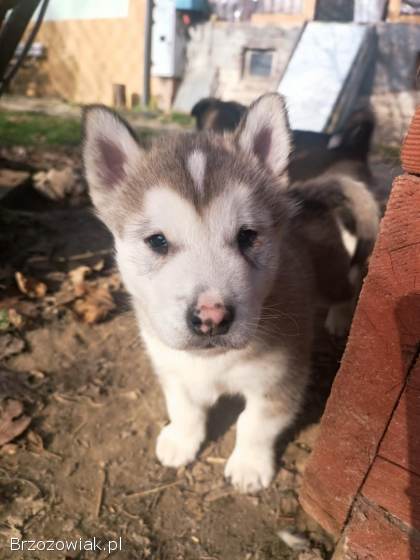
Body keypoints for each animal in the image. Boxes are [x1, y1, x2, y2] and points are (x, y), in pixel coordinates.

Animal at [82, 94, 378, 492]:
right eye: (157, 241)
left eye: (247, 236)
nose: (212, 318)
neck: (212, 362)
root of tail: (302, 195)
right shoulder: (172, 369)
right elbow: (185, 409)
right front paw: (181, 441)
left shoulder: (280, 377)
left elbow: (255, 424)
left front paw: (250, 465)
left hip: (331, 276)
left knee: (348, 286)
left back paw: (342, 317)